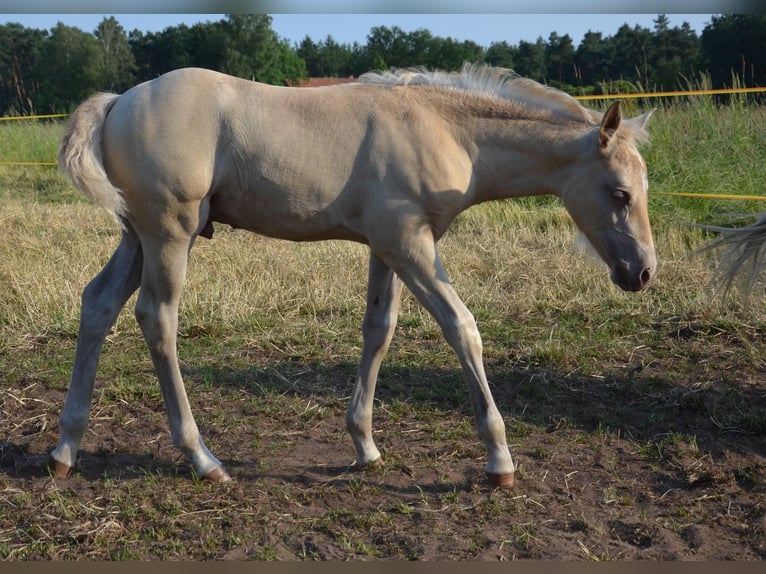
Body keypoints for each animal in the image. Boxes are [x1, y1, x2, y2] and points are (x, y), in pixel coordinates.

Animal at [51, 63, 656, 488]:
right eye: (620, 194)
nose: (643, 272)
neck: (444, 128)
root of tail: (119, 101)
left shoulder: (386, 248)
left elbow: (378, 331)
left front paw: (364, 445)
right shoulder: (410, 245)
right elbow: (462, 327)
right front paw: (499, 460)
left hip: (138, 235)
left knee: (97, 303)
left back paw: (65, 450)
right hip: (171, 235)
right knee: (157, 318)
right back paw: (202, 458)